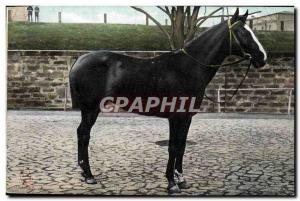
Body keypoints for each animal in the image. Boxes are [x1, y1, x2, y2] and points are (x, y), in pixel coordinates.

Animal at [69, 8, 266, 194]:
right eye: (242, 32)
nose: (262, 58)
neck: (188, 67)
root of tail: (79, 59)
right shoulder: (175, 117)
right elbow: (172, 147)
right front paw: (171, 183)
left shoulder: (187, 117)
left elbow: (182, 146)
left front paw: (181, 180)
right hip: (91, 108)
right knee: (84, 134)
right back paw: (89, 175)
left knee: (82, 134)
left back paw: (84, 173)